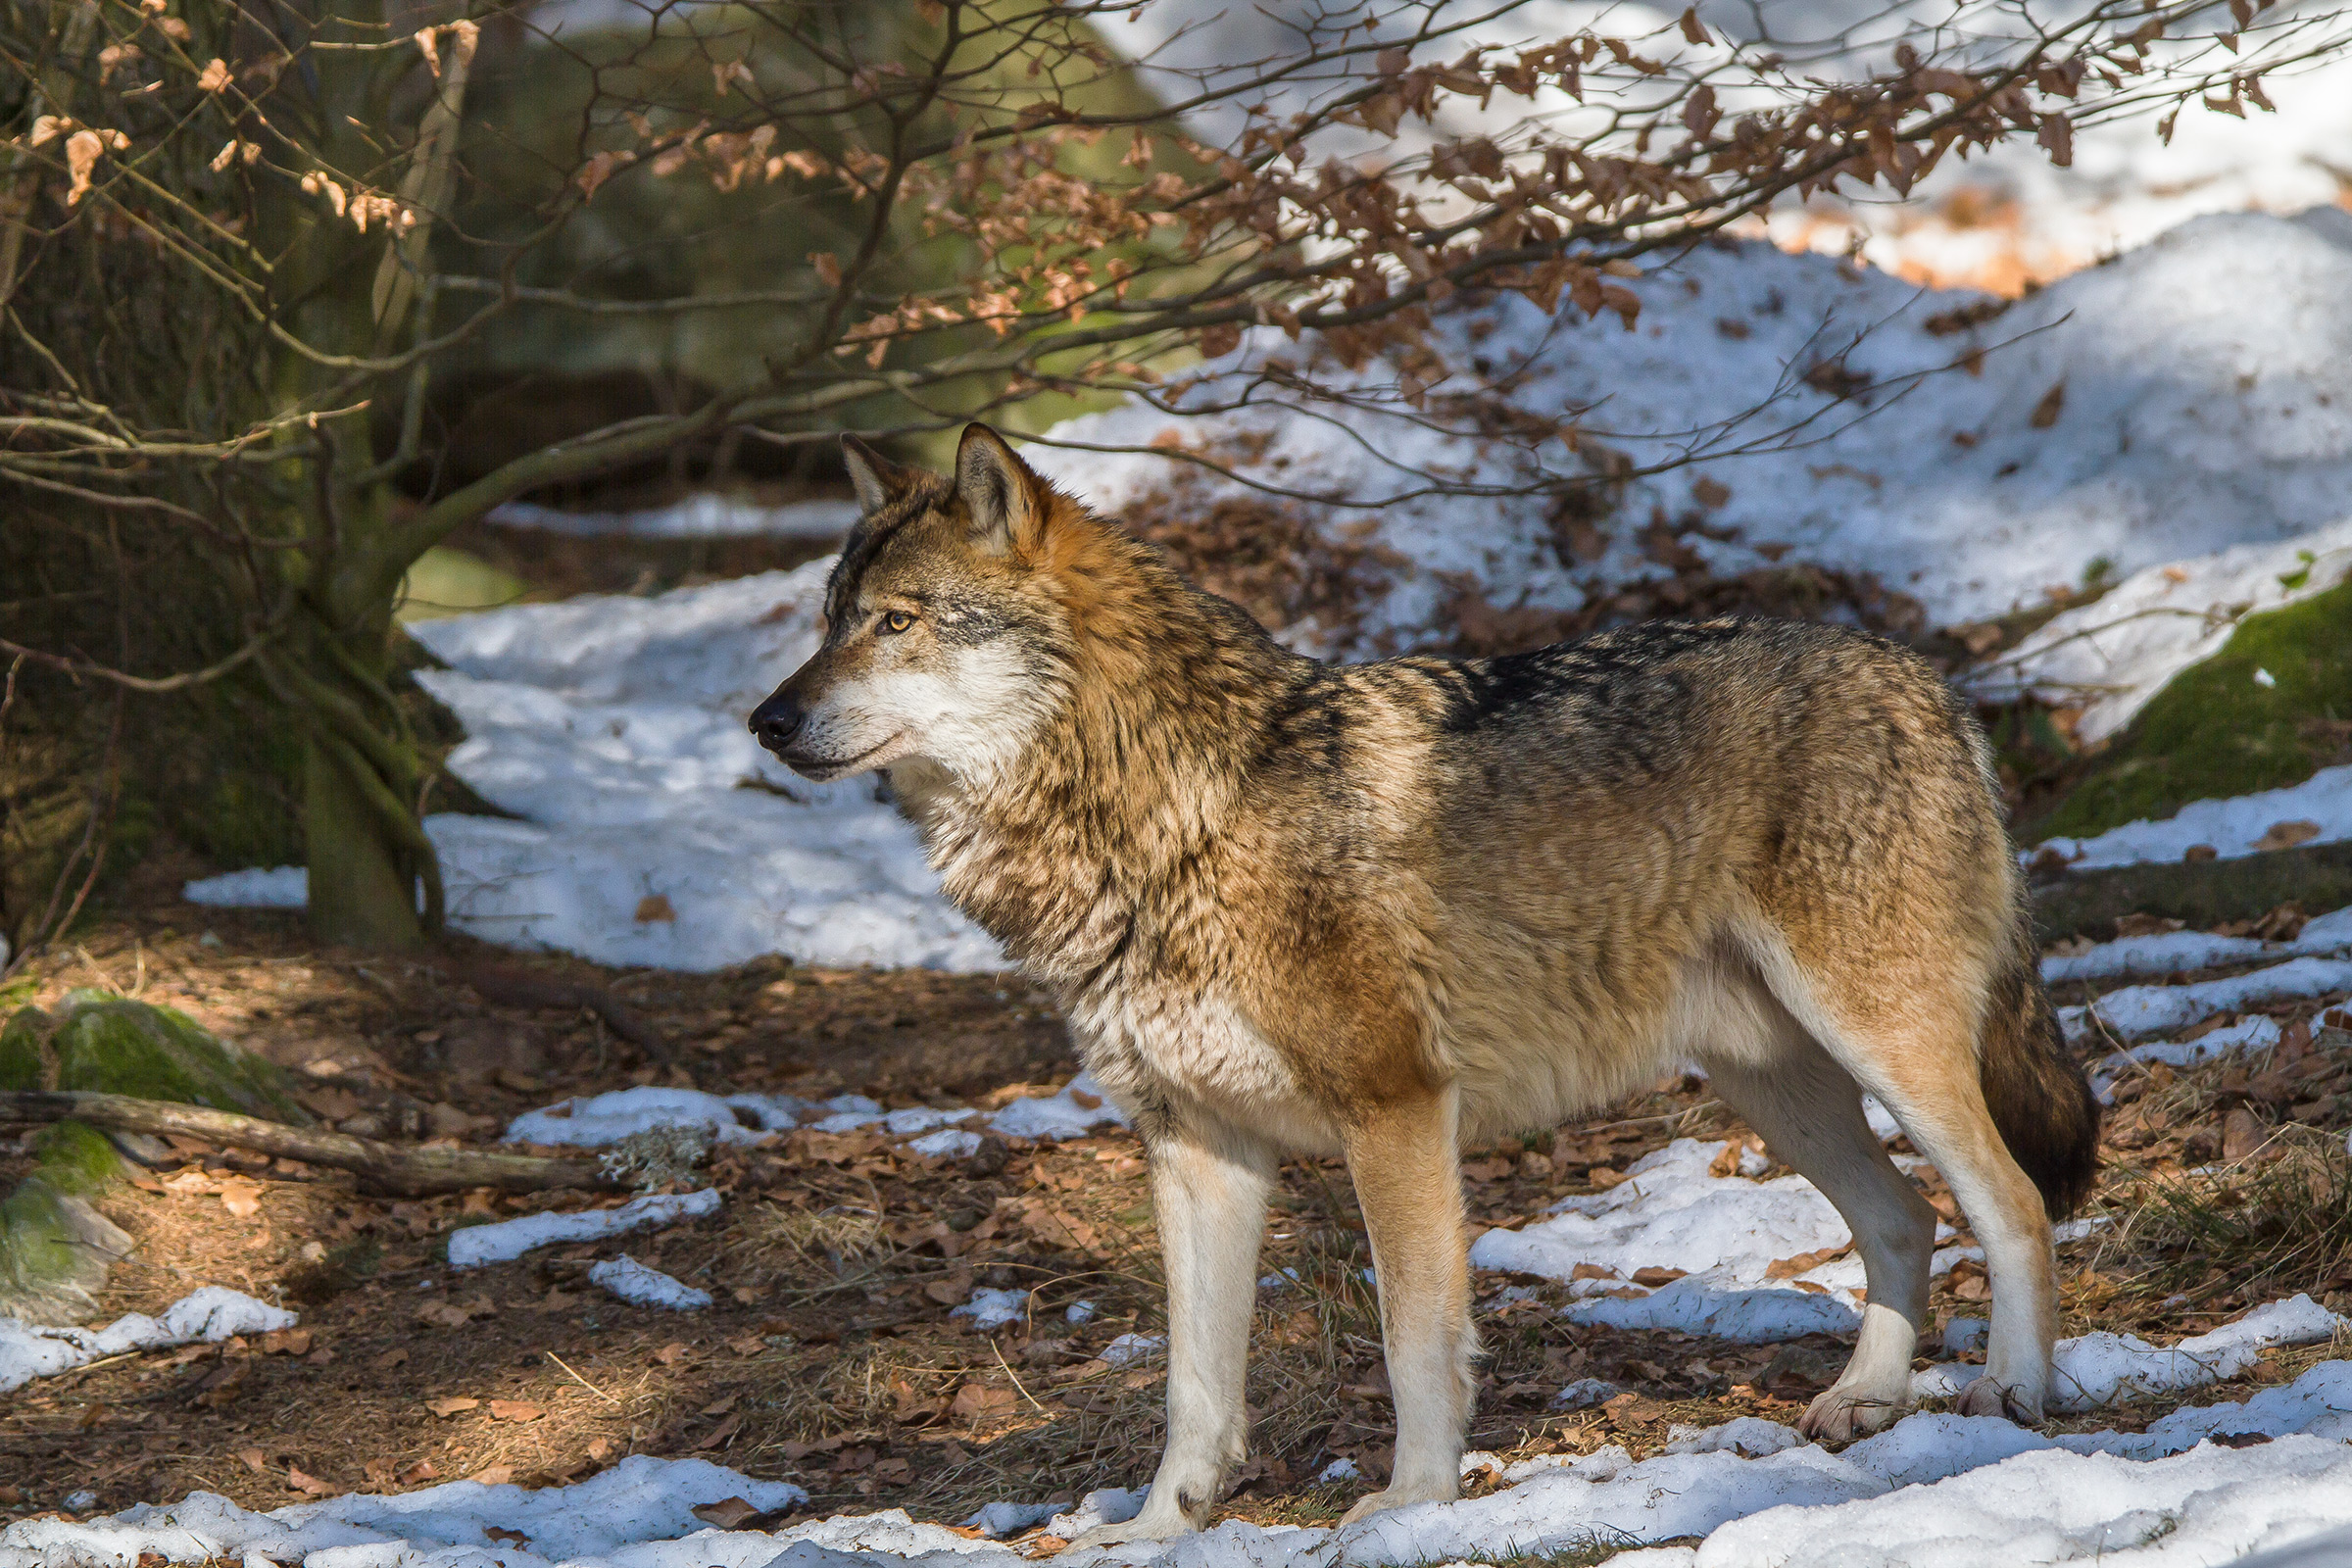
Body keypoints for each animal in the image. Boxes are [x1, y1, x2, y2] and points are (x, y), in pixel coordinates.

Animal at [749, 424, 2100, 1543]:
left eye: (898, 622)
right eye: (829, 619)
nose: (765, 721)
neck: (1176, 812)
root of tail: (1927, 678)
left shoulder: (1394, 1108)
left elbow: (1412, 1336)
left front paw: (1410, 1507)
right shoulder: (1194, 1146)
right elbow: (1193, 1389)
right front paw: (1150, 1534)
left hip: (1879, 1044)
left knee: (2013, 1203)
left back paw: (2013, 1392)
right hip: (1776, 1084)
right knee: (1905, 1217)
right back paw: (1863, 1401)